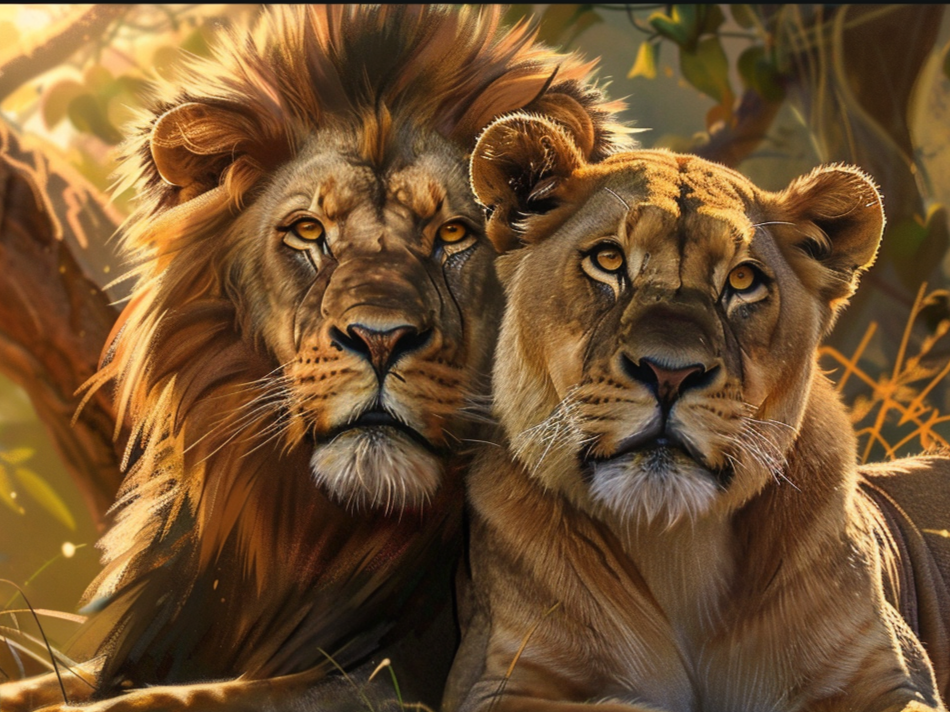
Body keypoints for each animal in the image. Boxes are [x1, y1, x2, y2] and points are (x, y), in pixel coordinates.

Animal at [0, 8, 632, 711]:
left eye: (453, 233)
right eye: (308, 231)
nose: (380, 339)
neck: (311, 535)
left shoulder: (406, 676)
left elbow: (187, 698)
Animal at [443, 113, 950, 712]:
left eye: (743, 280)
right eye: (608, 260)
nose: (669, 373)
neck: (675, 545)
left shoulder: (891, 677)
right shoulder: (496, 681)